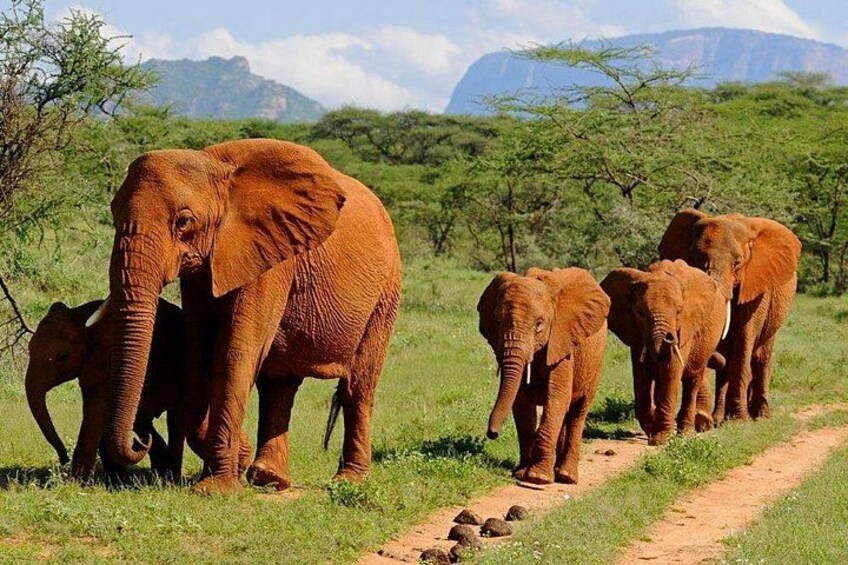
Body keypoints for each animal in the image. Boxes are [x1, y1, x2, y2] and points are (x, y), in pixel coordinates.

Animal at [26, 298, 187, 479]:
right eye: (29, 348)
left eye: (63, 357)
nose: (63, 458)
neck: (82, 316)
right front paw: (115, 478)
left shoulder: (106, 359)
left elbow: (96, 411)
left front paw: (78, 480)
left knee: (174, 421)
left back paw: (169, 476)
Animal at [87, 138, 402, 494]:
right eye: (113, 215)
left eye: (183, 222)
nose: (141, 440)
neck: (214, 164)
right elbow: (201, 352)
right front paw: (235, 461)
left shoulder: (271, 255)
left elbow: (236, 351)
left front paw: (214, 488)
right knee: (279, 386)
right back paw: (270, 478)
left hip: (386, 292)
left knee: (358, 385)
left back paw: (348, 480)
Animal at [477, 267, 610, 485]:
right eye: (497, 320)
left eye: (539, 324)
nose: (492, 433)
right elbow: (521, 403)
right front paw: (521, 473)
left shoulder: (561, 341)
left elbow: (556, 399)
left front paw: (537, 478)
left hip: (595, 363)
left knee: (578, 412)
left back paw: (566, 476)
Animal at [601, 259, 729, 445]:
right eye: (639, 312)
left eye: (679, 311)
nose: (668, 337)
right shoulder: (636, 333)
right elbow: (641, 374)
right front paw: (651, 431)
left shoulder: (685, 327)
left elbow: (670, 370)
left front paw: (660, 439)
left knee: (692, 380)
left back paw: (686, 433)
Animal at [659, 210, 801, 422]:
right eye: (693, 259)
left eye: (737, 263)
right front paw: (706, 420)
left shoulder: (756, 286)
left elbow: (744, 337)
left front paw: (739, 419)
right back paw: (718, 418)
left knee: (761, 356)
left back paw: (760, 415)